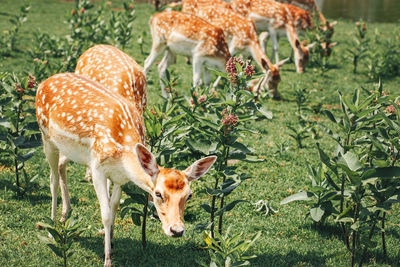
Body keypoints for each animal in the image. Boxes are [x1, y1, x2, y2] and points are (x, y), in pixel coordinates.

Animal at [35, 73, 216, 267]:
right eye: (158, 194)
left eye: (189, 195)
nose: (177, 230)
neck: (121, 155)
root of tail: (44, 82)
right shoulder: (97, 167)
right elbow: (106, 214)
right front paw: (107, 259)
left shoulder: (120, 178)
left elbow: (114, 206)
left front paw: (111, 242)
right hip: (46, 136)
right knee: (52, 179)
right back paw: (51, 229)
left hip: (67, 149)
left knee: (62, 165)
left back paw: (65, 214)